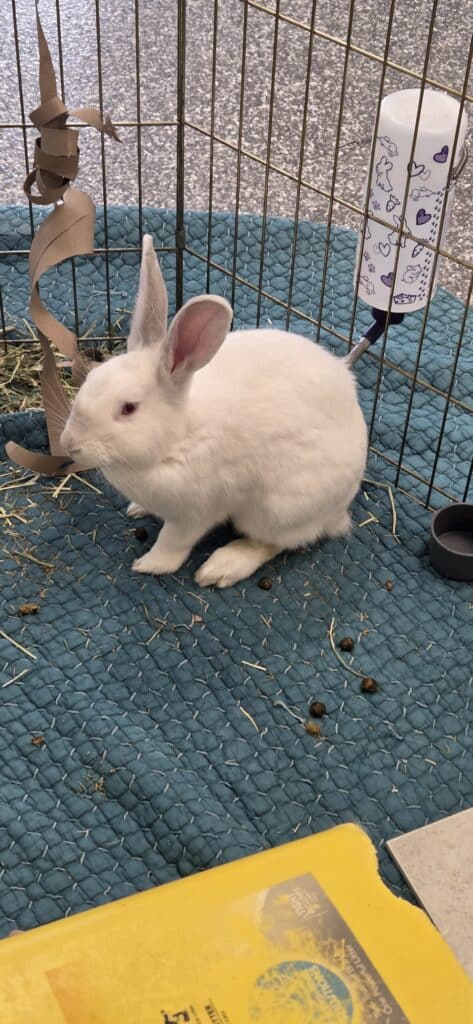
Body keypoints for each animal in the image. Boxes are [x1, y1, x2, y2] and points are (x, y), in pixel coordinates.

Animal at [60, 236, 368, 589]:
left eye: (128, 409)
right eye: (91, 379)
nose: (68, 444)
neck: (178, 437)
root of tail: (340, 510)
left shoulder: (194, 513)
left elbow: (173, 542)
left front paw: (151, 564)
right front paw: (137, 508)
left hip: (278, 509)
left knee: (274, 542)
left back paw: (222, 566)